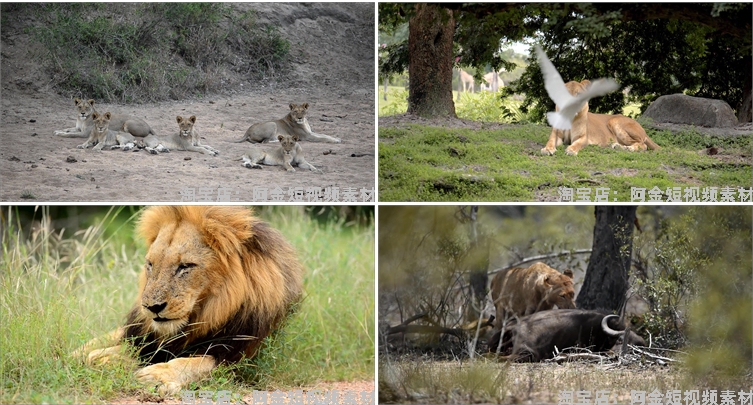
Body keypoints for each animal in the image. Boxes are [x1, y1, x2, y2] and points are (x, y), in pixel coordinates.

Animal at [73, 207, 302, 396]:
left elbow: (195, 363)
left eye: (185, 266)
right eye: (150, 264)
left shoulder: (238, 358)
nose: (152, 307)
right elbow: (111, 351)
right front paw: (106, 358)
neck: (208, 312)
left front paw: (155, 375)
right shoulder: (144, 339)